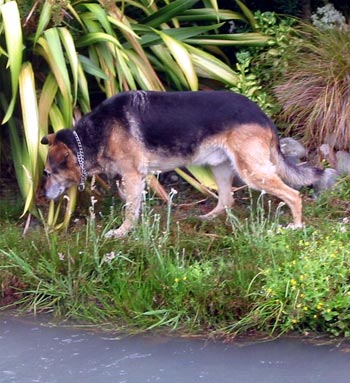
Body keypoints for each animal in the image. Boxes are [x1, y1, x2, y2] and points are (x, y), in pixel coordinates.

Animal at [40, 91, 322, 238]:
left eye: (48, 173)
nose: (44, 195)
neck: (90, 137)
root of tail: (263, 116)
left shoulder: (132, 175)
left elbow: (130, 210)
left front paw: (122, 233)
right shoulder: (133, 179)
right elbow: (132, 204)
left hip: (252, 171)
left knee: (293, 195)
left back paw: (296, 226)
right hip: (220, 168)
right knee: (227, 199)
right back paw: (208, 218)